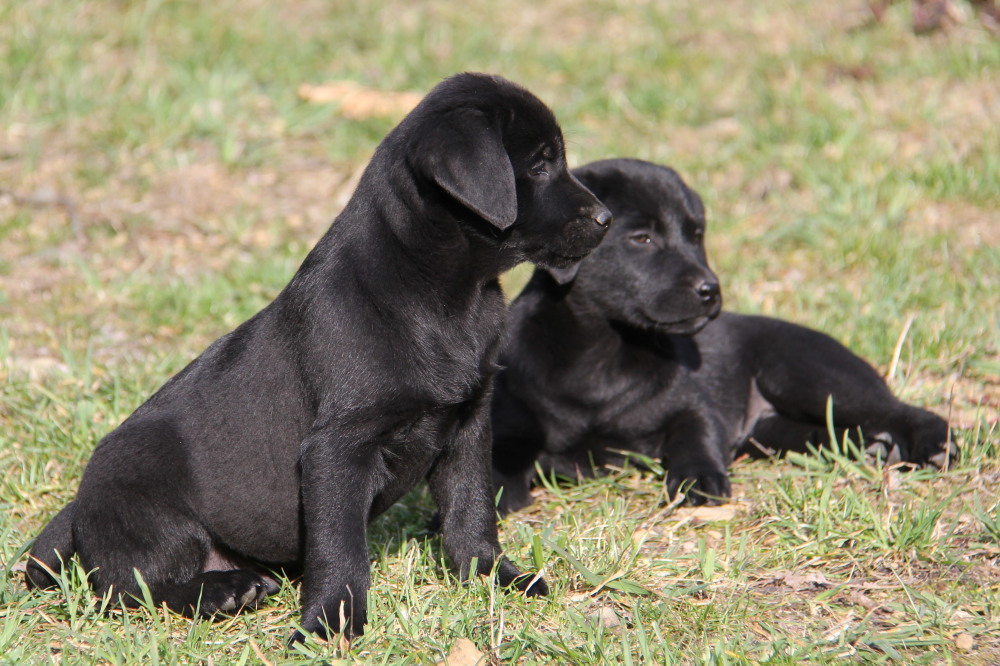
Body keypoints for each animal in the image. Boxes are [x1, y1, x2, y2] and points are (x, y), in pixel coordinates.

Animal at [27, 72, 612, 640]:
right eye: (539, 164)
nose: (606, 218)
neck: (442, 292)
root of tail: (79, 509)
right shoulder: (337, 450)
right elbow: (340, 548)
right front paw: (331, 622)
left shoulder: (468, 423)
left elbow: (471, 514)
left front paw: (496, 578)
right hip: (152, 513)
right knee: (129, 587)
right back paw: (222, 592)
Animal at [492, 158, 952, 510]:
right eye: (641, 238)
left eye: (696, 235)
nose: (710, 290)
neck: (602, 352)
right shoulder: (514, 422)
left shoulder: (695, 406)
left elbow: (696, 436)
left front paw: (698, 479)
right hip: (773, 430)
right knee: (826, 433)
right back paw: (872, 447)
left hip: (807, 374)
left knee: (897, 411)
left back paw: (932, 446)